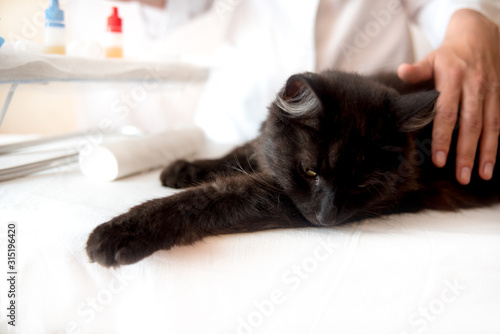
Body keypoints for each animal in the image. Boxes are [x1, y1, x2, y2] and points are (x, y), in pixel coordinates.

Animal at [86, 70, 500, 266]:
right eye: (310, 172)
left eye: (362, 185)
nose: (327, 216)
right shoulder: (266, 155)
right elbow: (242, 152)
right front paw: (187, 168)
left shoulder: (279, 197)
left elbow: (215, 196)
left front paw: (124, 231)